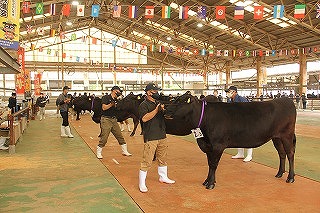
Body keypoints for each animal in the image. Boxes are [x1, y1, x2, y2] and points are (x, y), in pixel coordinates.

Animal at [165, 93, 298, 190]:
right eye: (174, 99)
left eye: (181, 102)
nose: (165, 109)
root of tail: (286, 100)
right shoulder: (208, 146)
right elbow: (209, 163)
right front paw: (207, 181)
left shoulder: (218, 145)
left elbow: (213, 164)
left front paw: (211, 183)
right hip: (276, 137)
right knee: (282, 153)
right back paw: (279, 173)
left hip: (287, 135)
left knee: (290, 154)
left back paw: (290, 178)